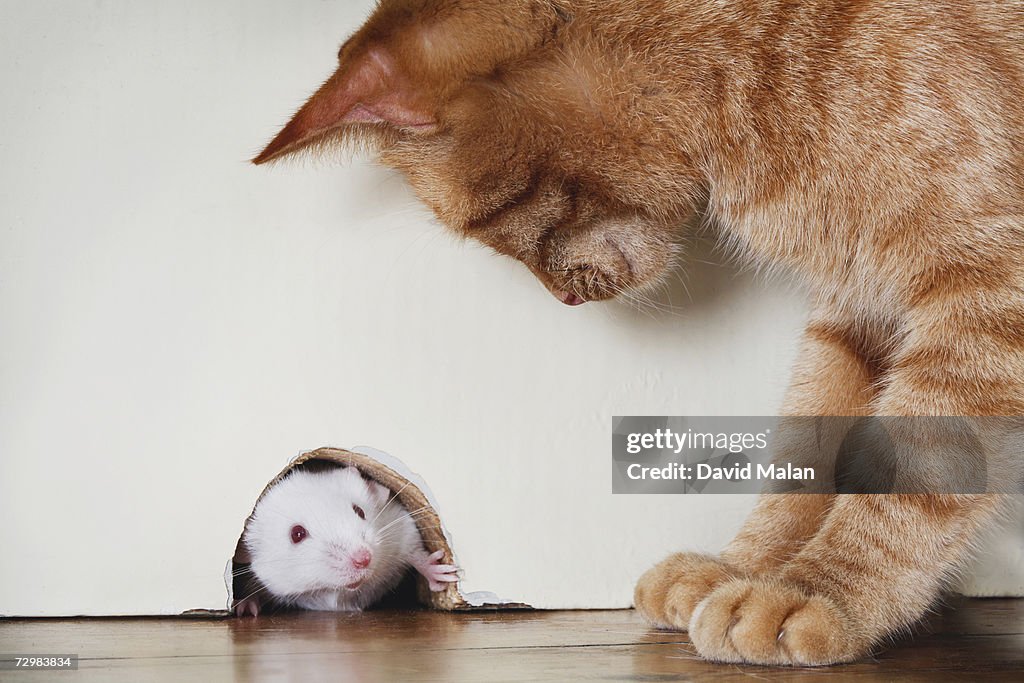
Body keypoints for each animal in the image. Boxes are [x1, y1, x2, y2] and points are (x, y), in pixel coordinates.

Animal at [253, 0, 1015, 663]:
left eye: (487, 220)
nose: (562, 299)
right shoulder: (856, 308)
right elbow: (808, 450)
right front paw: (744, 567)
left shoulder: (987, 299)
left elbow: (915, 472)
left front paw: (816, 592)